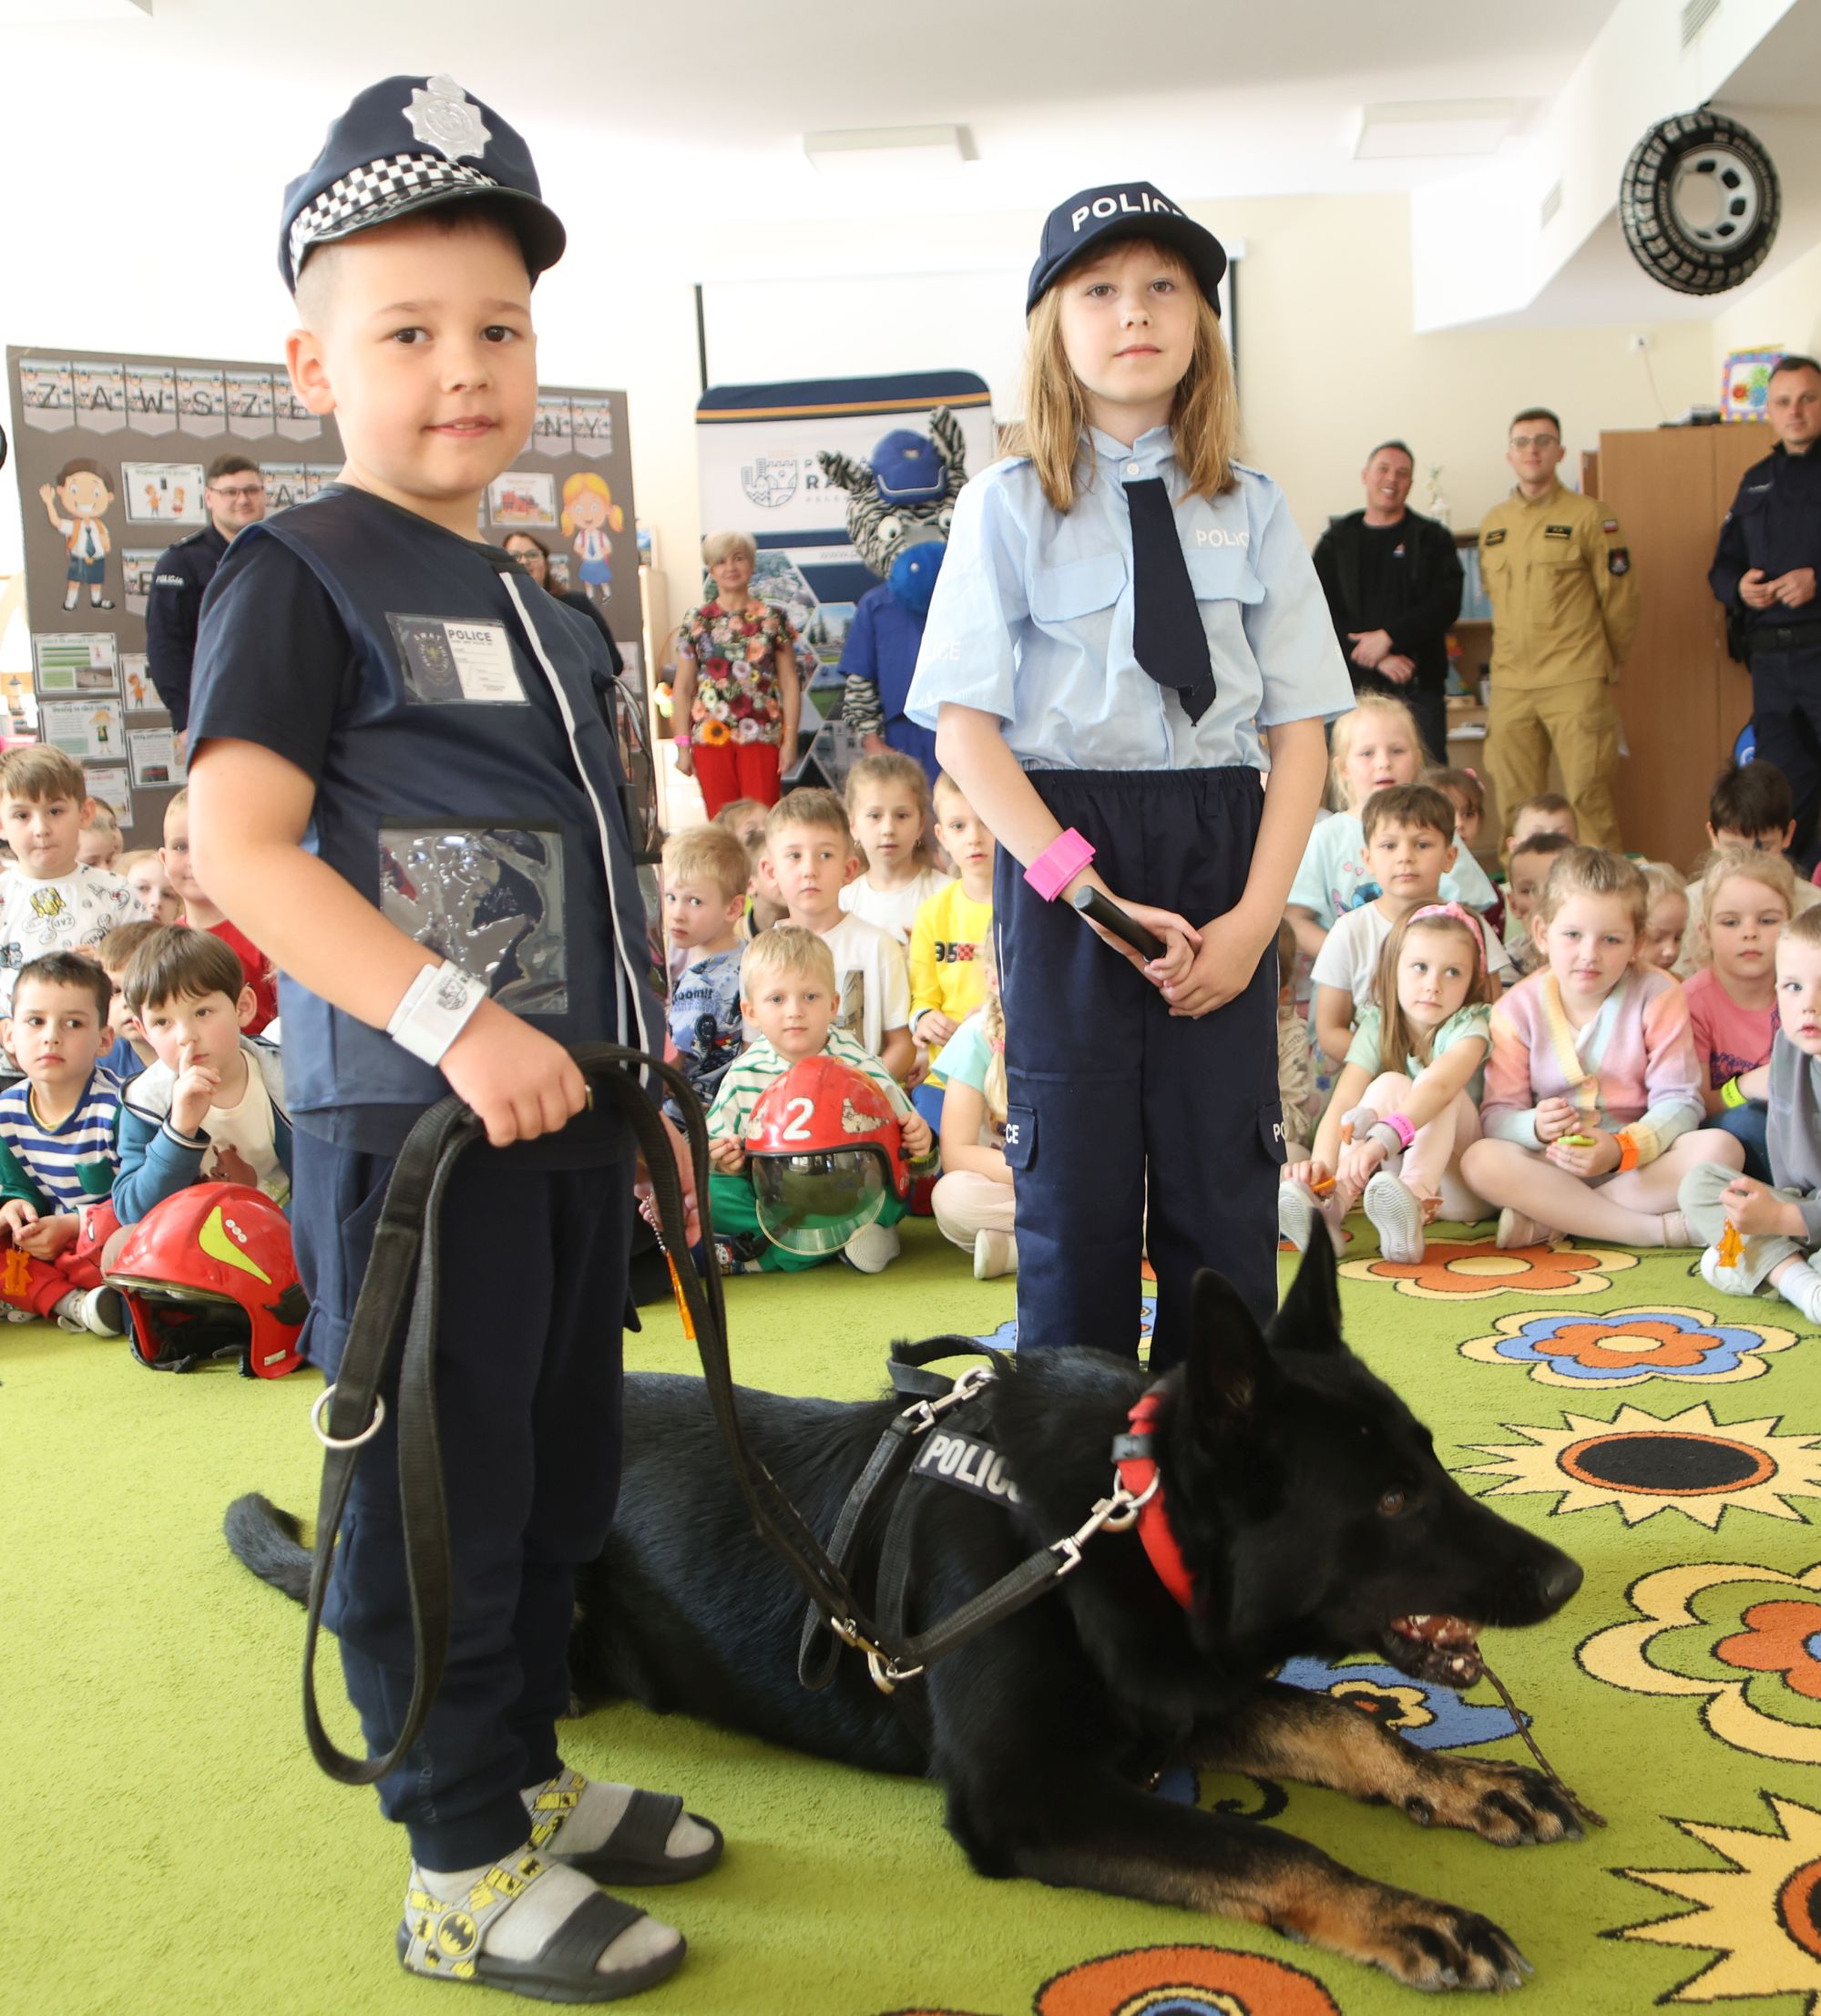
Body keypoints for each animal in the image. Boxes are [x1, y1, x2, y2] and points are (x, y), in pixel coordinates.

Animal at [227, 1237, 1586, 1993]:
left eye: (1429, 1462)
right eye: (1392, 1498)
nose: (1564, 1580)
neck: (1105, 1524)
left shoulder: (1171, 1688)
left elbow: (1345, 1724)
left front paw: (1468, 1783)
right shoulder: (1032, 1793)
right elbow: (1267, 1848)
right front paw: (1405, 1909)